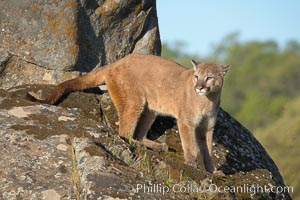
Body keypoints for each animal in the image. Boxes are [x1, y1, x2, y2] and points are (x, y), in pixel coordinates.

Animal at [28, 54, 230, 174]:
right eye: (196, 77)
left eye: (209, 77)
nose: (199, 87)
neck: (208, 100)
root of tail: (118, 62)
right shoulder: (186, 121)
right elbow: (190, 144)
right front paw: (191, 163)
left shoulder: (207, 127)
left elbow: (207, 149)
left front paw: (212, 170)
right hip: (134, 102)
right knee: (124, 133)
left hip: (150, 109)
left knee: (138, 134)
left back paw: (158, 146)